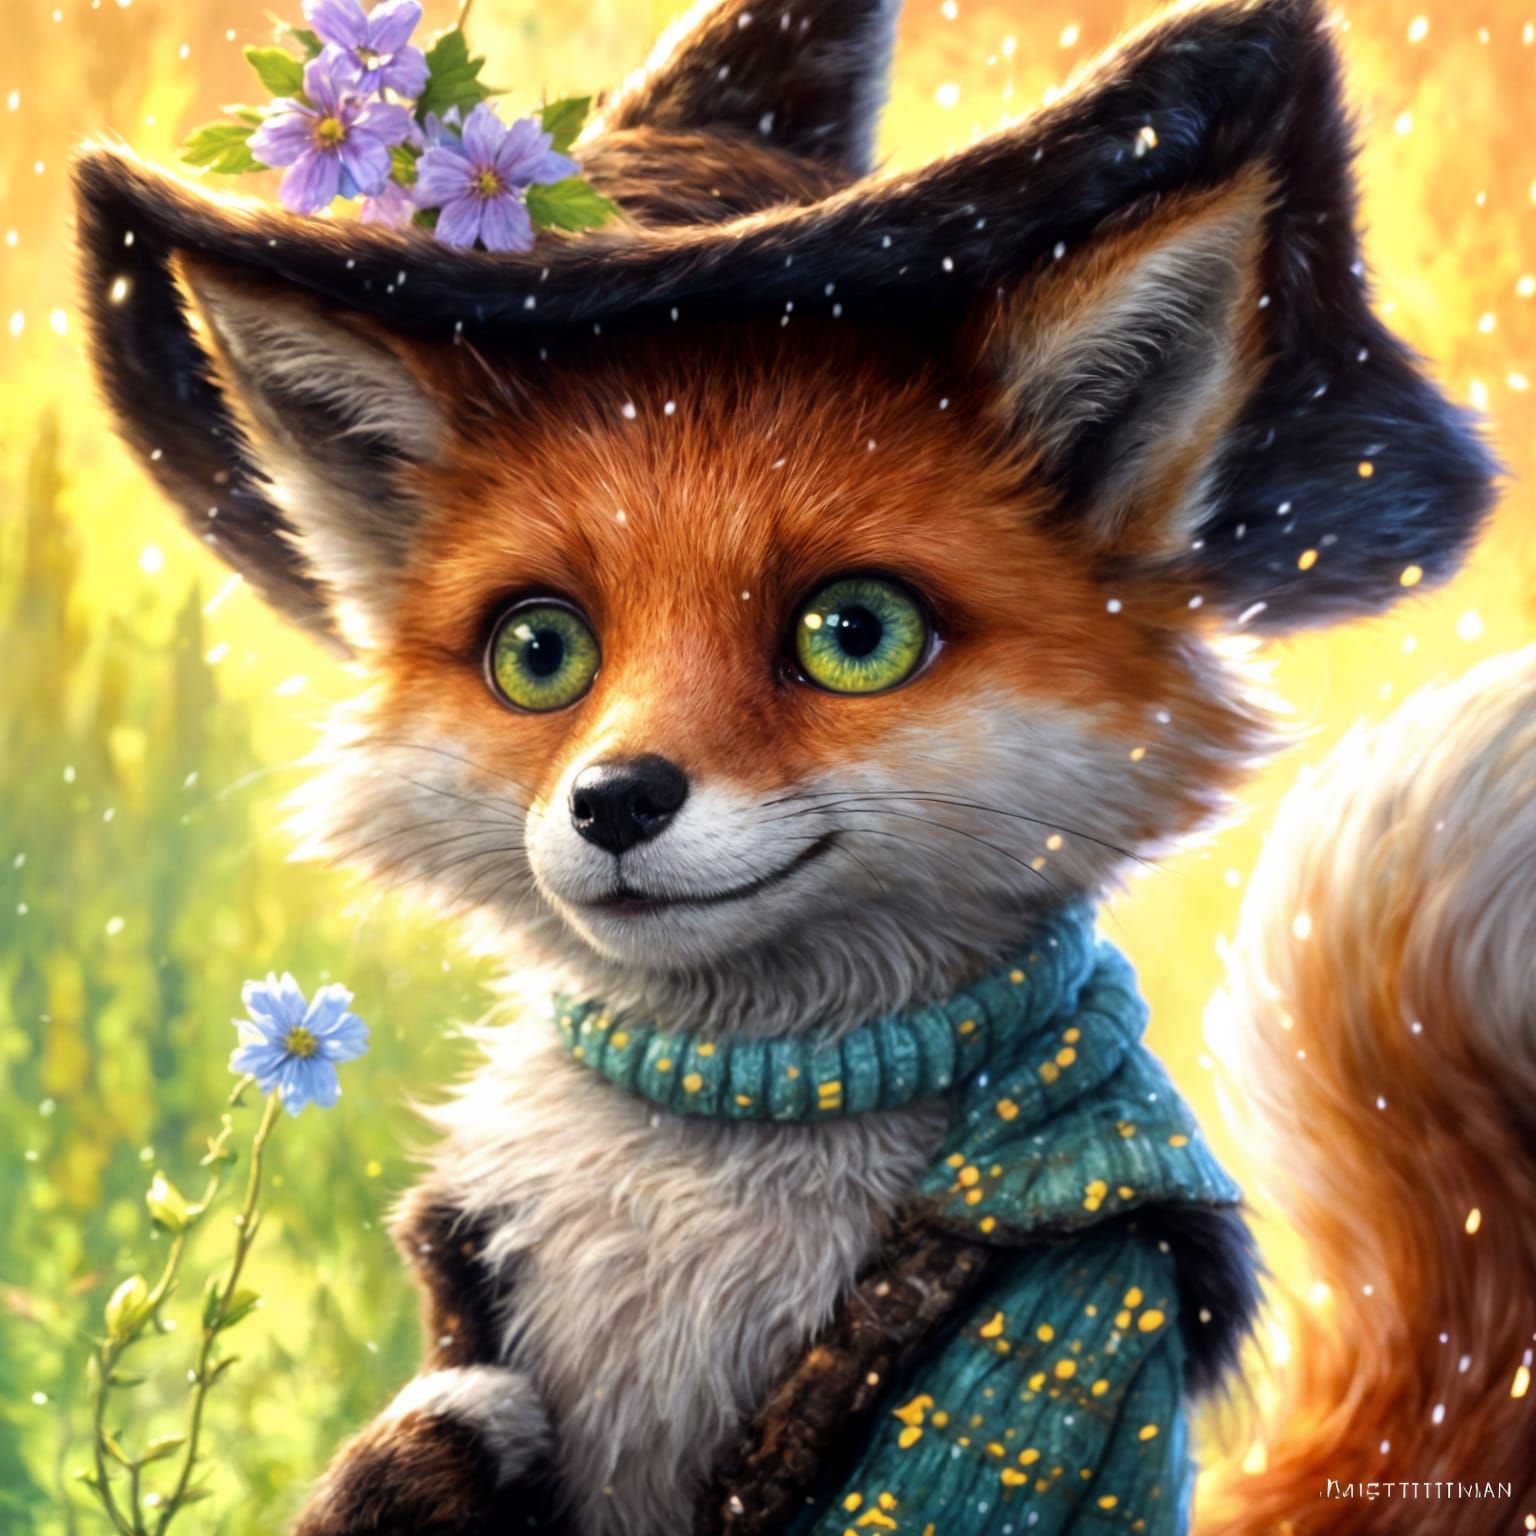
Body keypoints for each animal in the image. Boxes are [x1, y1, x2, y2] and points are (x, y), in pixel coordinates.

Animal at [70, 0, 1529, 1531]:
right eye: (539, 651)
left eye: (856, 633)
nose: (615, 800)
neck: (725, 1128)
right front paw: (430, 1461)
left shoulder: (1065, 1333)